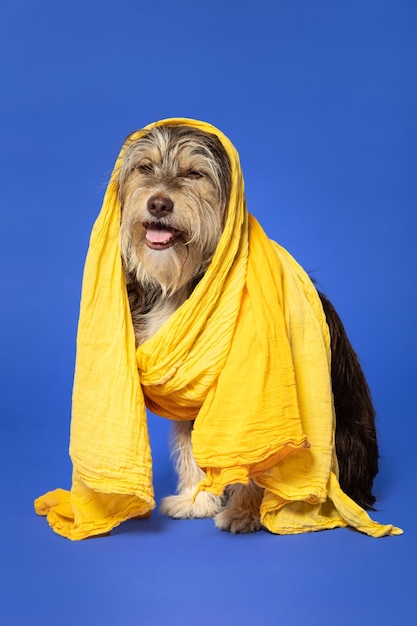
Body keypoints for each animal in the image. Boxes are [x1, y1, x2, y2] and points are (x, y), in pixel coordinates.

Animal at [116, 123, 376, 532]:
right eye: (145, 168)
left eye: (195, 174)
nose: (158, 203)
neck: (185, 279)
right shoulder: (192, 389)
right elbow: (193, 444)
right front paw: (197, 499)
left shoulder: (254, 394)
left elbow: (254, 457)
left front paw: (246, 512)